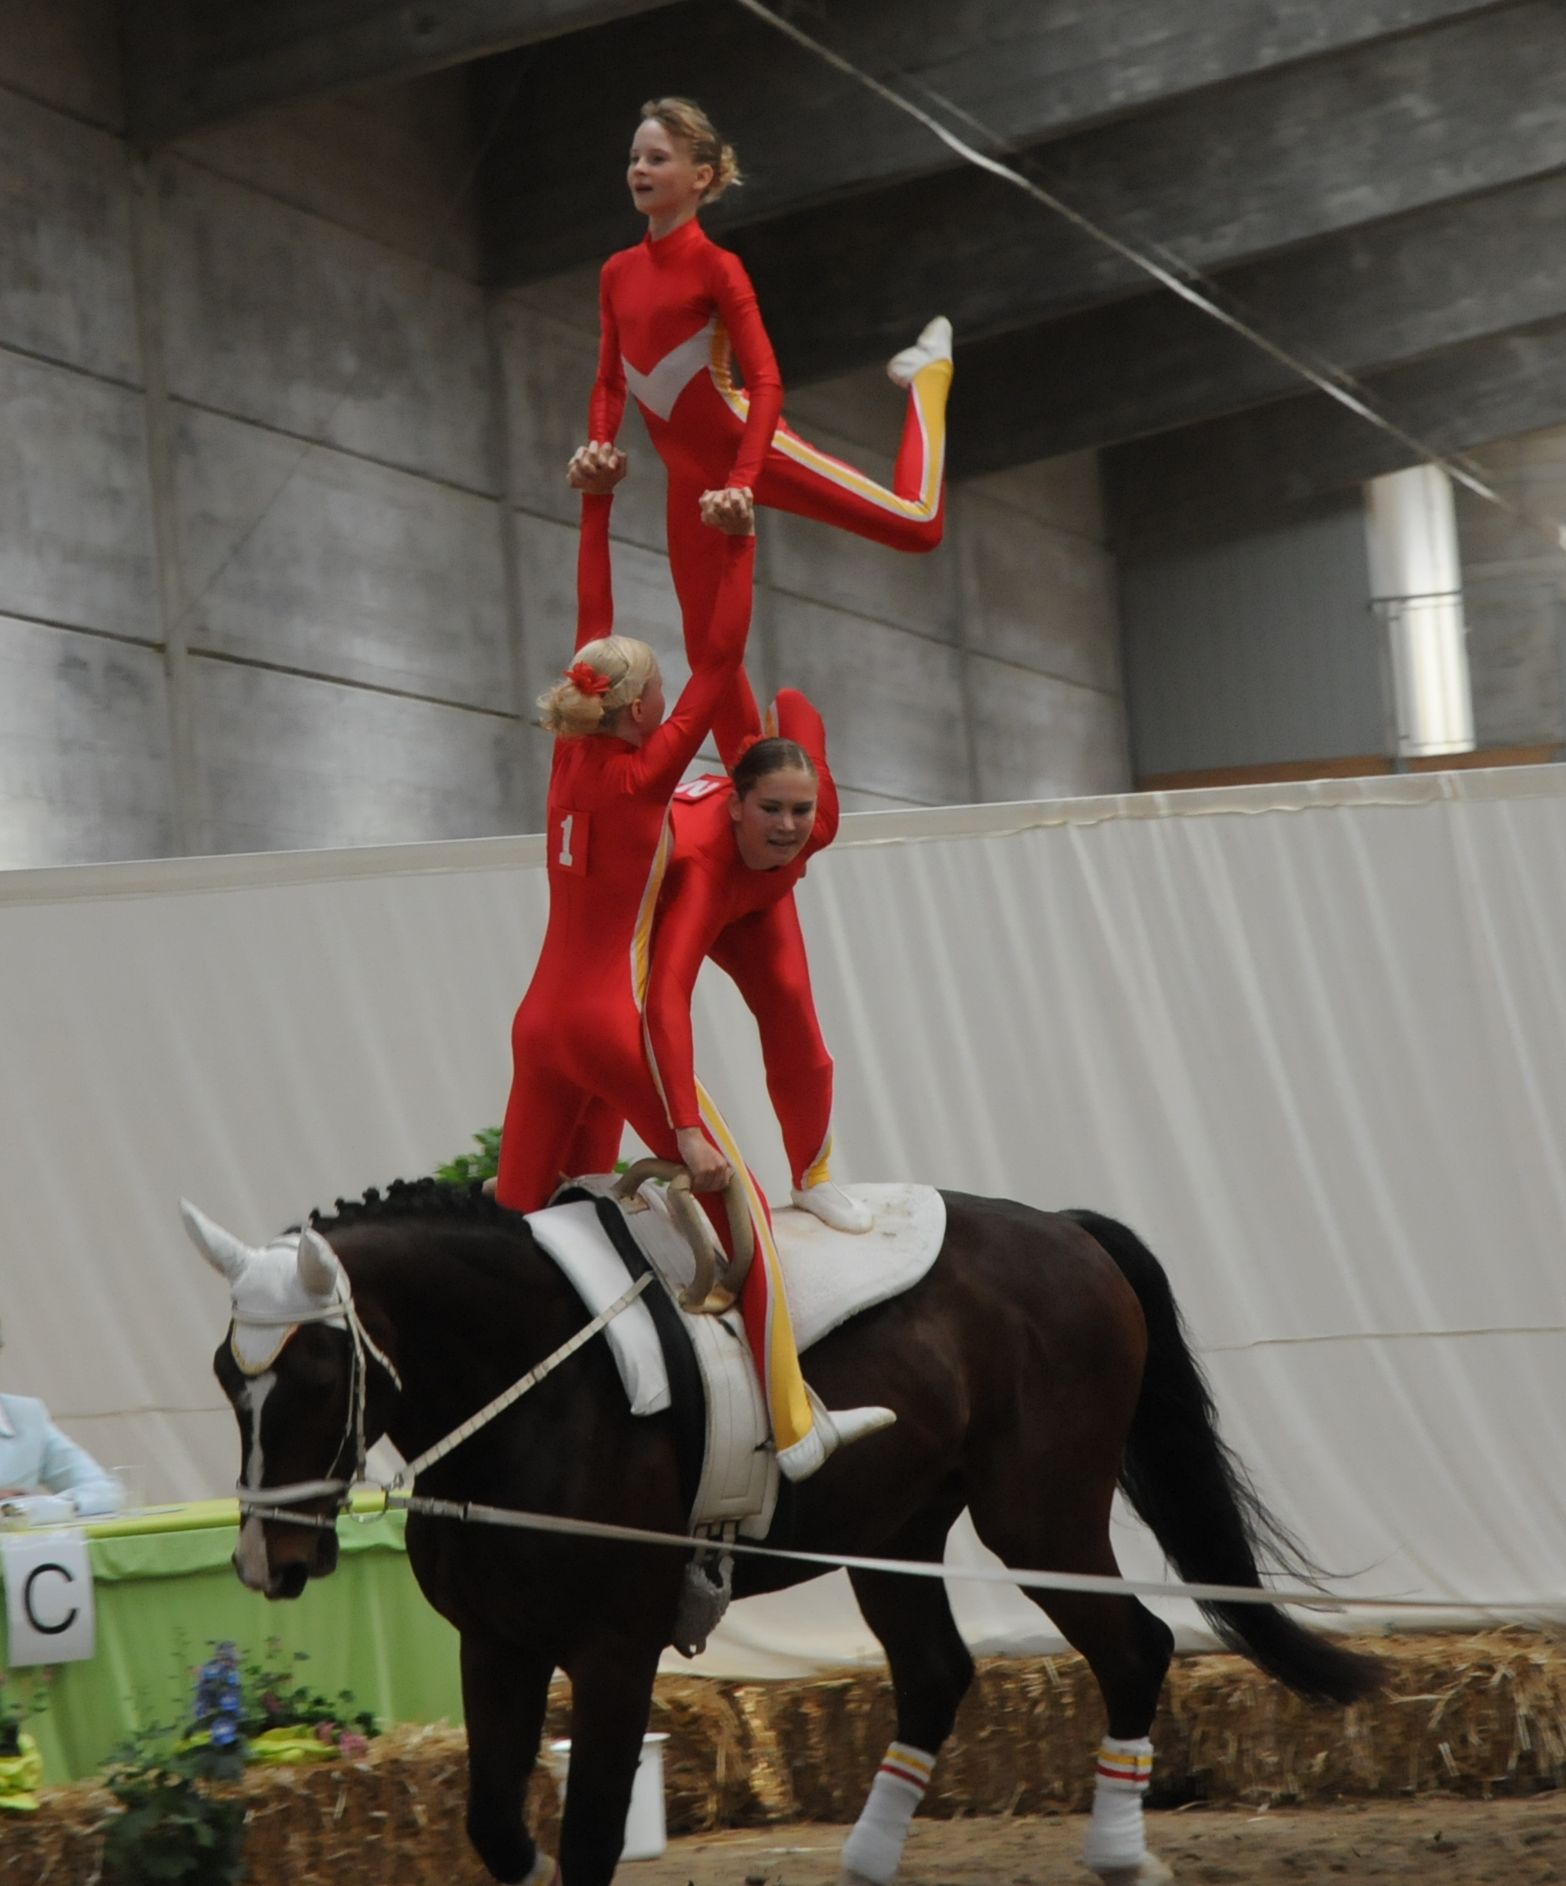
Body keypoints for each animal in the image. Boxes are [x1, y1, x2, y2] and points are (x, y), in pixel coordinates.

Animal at [186, 1178, 1382, 1886]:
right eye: (225, 1378)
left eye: (315, 1376)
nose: (268, 1562)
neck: (535, 1387)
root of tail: (1064, 1227)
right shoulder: (498, 1643)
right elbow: (495, 1827)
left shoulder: (614, 1649)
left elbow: (588, 1836)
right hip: (897, 1529)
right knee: (938, 1672)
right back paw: (866, 1861)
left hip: (1039, 1513)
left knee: (1134, 1648)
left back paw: (1120, 1853)